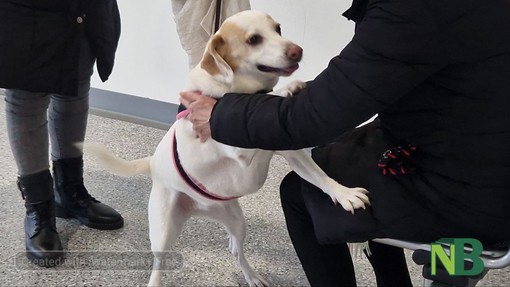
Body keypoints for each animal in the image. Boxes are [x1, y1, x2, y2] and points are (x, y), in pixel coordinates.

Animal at [85, 10, 368, 286]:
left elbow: (321, 177)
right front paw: (286, 89)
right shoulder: (237, 146)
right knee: (158, 264)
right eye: (254, 39)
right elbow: (261, 101)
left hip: (237, 221)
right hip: (163, 231)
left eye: (278, 29)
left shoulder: (293, 154)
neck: (233, 87)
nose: (296, 51)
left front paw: (345, 194)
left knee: (236, 250)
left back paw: (251, 275)